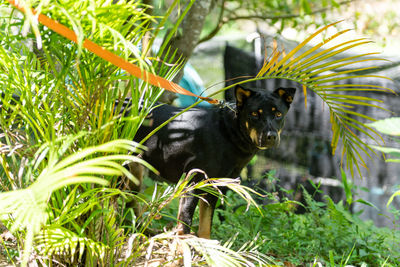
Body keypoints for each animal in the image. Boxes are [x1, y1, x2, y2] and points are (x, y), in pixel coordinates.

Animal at [133, 85, 296, 239]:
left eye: (278, 114)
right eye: (254, 114)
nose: (270, 136)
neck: (229, 132)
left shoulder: (215, 186)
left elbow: (206, 225)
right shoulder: (192, 182)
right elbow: (185, 222)